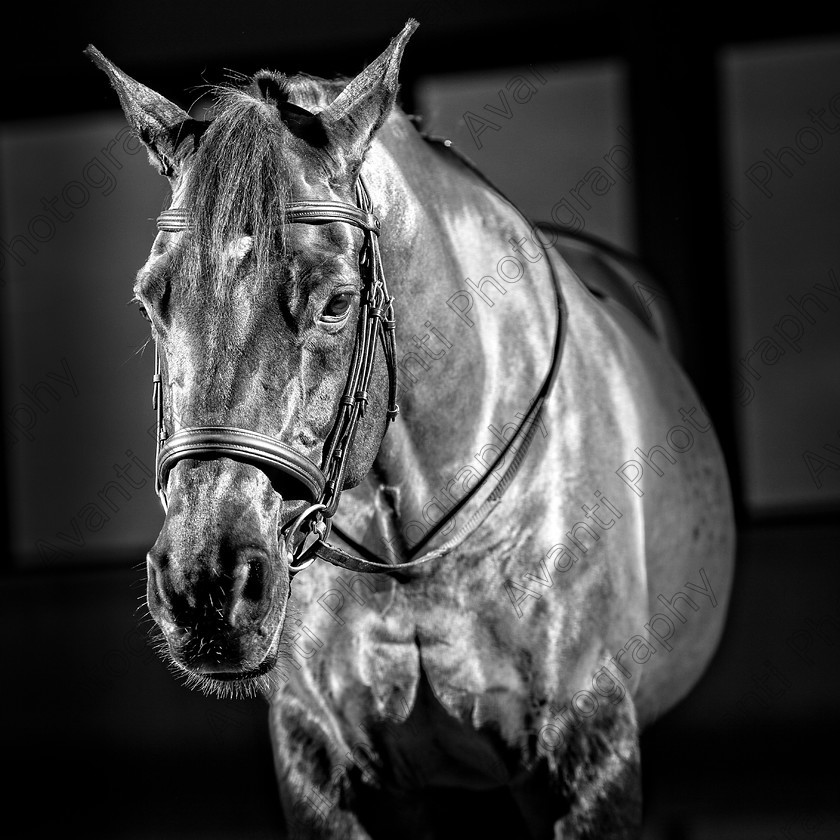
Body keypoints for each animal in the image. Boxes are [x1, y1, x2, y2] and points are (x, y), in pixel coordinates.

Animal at [87, 21, 736, 840]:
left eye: (337, 302)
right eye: (151, 300)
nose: (207, 587)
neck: (414, 546)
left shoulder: (592, 756)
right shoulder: (320, 764)